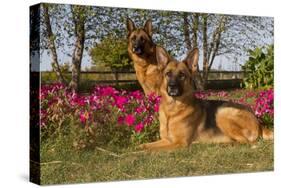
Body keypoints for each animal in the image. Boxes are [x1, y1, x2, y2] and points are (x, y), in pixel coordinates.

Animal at [139, 47, 272, 151]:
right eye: (168, 74)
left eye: (182, 75)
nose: (172, 86)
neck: (172, 110)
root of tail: (258, 122)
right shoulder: (166, 140)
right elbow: (144, 146)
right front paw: (138, 148)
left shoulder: (179, 143)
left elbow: (150, 150)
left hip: (222, 113)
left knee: (246, 142)